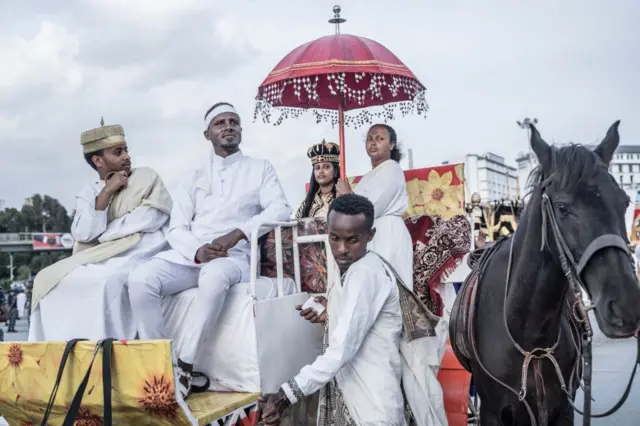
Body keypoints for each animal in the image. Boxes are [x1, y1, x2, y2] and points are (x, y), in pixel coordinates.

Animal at [450, 121, 640, 424]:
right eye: (562, 208)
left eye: (623, 202)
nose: (627, 306)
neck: (531, 336)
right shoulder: (492, 411)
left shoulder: (562, 407)